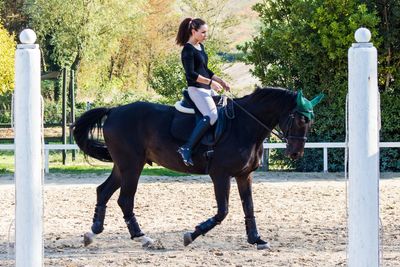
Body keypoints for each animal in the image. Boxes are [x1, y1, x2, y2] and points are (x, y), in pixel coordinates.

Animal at [71, 87, 322, 250]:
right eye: (300, 119)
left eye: (311, 121)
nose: (295, 153)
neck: (244, 126)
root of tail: (113, 111)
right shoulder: (220, 175)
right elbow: (223, 211)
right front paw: (191, 235)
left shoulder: (244, 175)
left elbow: (249, 207)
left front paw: (256, 239)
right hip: (132, 165)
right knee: (125, 200)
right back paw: (144, 238)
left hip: (123, 166)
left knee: (103, 191)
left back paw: (92, 233)